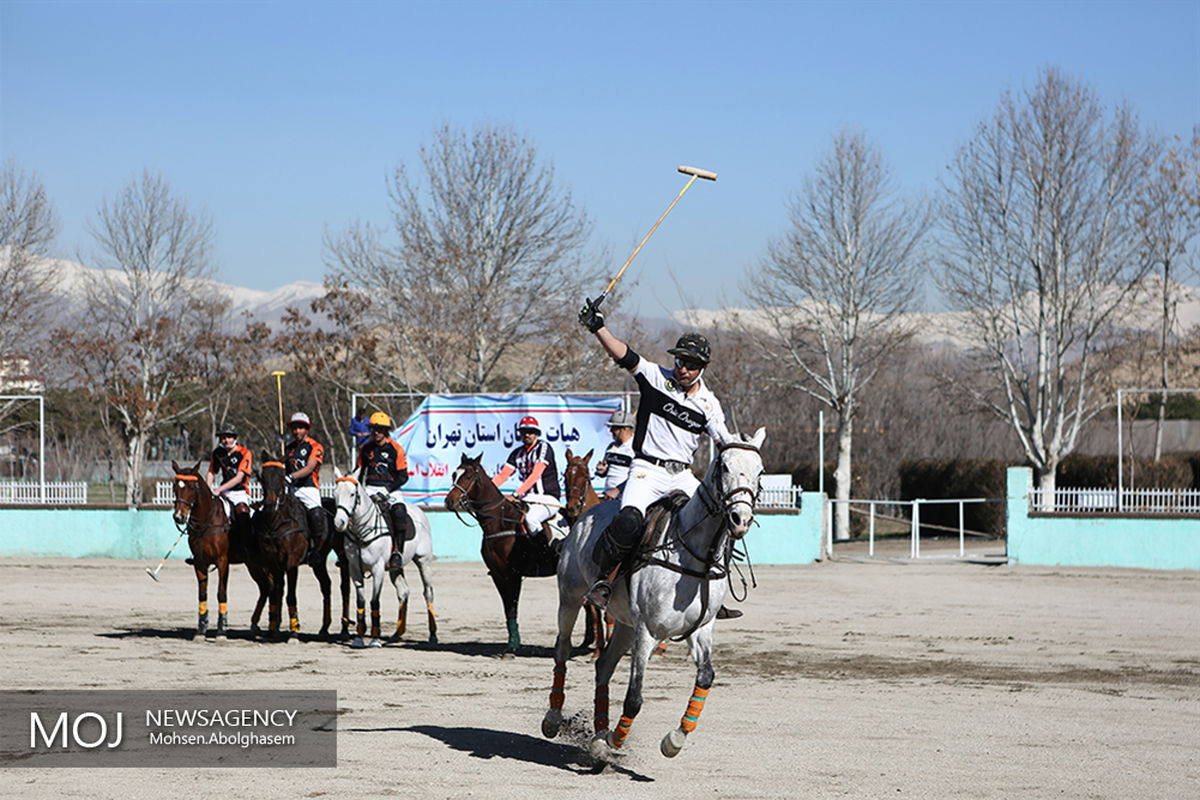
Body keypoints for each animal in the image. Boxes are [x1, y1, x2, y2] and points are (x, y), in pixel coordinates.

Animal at [170, 460, 252, 642]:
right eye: (174, 487)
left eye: (192, 487)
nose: (179, 517)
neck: (207, 521)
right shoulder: (200, 563)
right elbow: (202, 595)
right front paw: (201, 630)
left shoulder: (223, 562)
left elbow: (221, 594)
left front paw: (221, 631)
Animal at [331, 470, 439, 652]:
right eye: (335, 494)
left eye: (352, 494)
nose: (339, 523)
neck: (361, 533)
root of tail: (419, 510)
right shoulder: (354, 569)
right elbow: (360, 602)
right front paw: (359, 638)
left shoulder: (378, 569)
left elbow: (375, 602)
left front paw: (375, 639)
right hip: (395, 568)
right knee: (403, 592)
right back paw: (397, 633)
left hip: (423, 561)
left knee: (428, 593)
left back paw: (433, 635)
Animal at [544, 424, 768, 758]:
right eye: (724, 466)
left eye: (760, 471)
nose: (740, 520)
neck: (693, 557)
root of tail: (582, 518)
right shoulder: (647, 632)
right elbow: (634, 698)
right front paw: (616, 740)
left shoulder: (700, 630)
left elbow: (706, 677)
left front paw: (674, 739)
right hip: (570, 597)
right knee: (562, 648)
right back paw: (555, 719)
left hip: (625, 624)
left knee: (603, 666)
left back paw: (598, 737)